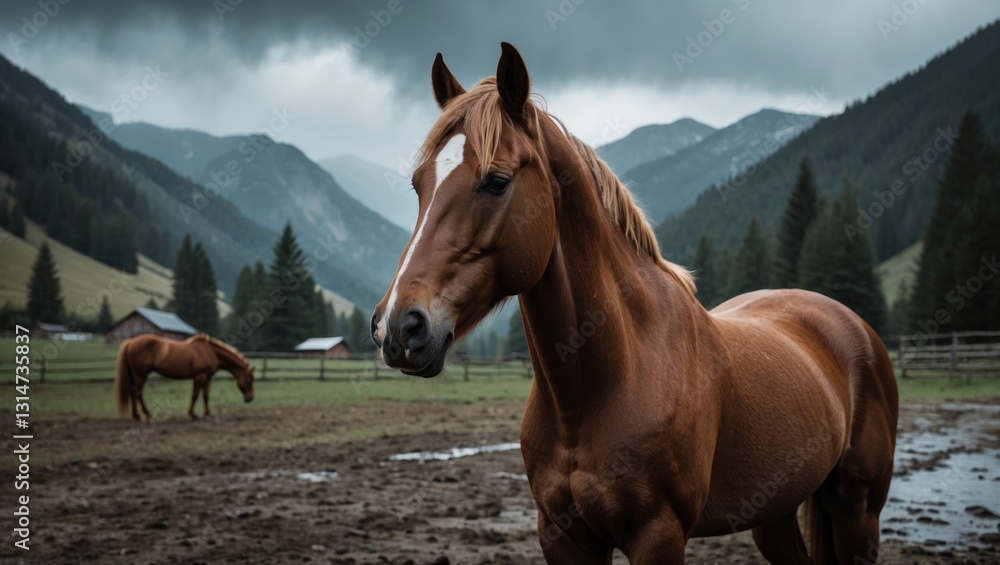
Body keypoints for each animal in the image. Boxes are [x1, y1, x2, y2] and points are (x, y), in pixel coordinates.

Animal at [115, 333, 255, 421]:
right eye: (249, 380)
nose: (250, 398)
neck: (209, 351)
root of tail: (131, 342)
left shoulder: (208, 378)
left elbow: (205, 396)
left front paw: (208, 414)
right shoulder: (199, 376)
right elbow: (195, 395)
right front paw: (192, 414)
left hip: (135, 376)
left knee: (133, 392)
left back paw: (136, 416)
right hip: (140, 375)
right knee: (137, 392)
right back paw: (147, 415)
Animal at [370, 42, 898, 563]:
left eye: (496, 181)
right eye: (418, 184)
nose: (398, 328)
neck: (607, 382)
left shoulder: (658, 534)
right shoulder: (561, 536)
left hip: (857, 511)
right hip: (775, 513)